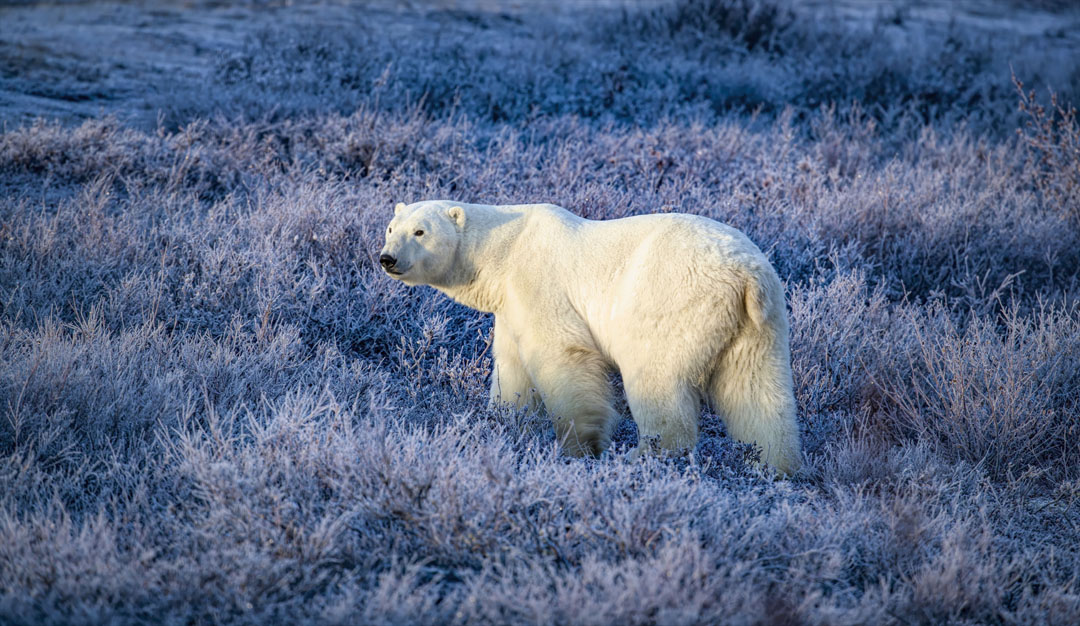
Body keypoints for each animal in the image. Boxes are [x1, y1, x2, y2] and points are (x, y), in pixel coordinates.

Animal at [379, 200, 801, 475]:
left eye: (420, 231)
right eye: (390, 228)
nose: (387, 258)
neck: (504, 248)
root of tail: (746, 274)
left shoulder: (538, 282)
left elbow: (561, 355)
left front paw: (582, 446)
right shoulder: (510, 307)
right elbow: (511, 370)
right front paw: (502, 422)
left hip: (672, 299)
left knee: (656, 379)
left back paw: (639, 460)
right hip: (760, 325)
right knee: (758, 394)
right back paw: (775, 467)